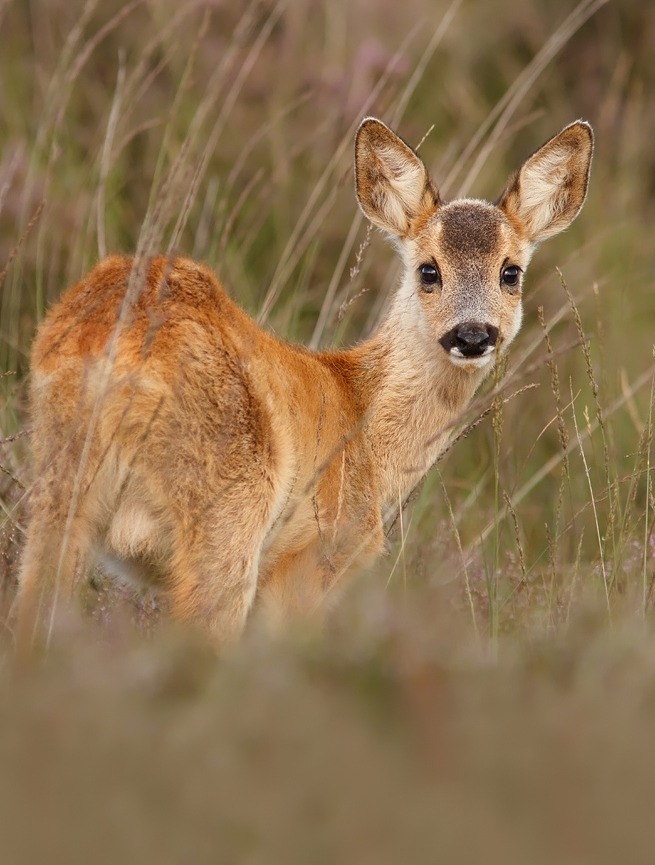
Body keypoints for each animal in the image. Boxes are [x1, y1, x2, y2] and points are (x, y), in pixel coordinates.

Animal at [15, 120, 596, 648]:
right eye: (428, 270)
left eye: (510, 272)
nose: (473, 335)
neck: (365, 425)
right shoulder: (312, 561)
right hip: (227, 514)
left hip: (59, 494)